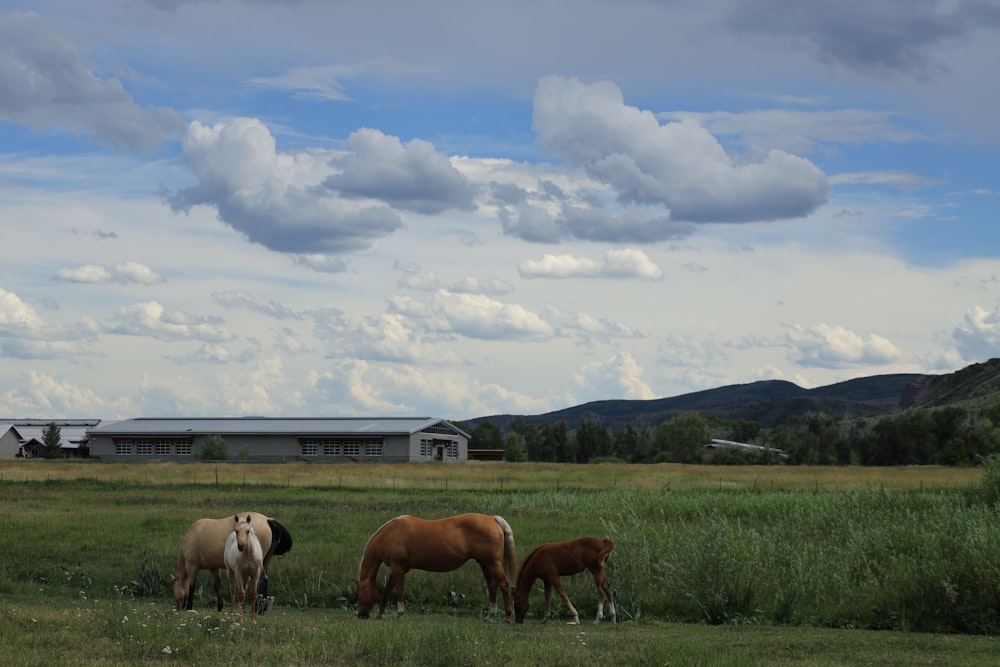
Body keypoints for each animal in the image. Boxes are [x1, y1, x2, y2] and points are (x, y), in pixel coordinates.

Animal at [358, 516, 516, 624]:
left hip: (493, 563)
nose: (361, 615)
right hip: (485, 564)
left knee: (503, 584)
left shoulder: (398, 567)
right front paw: (380, 613)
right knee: (492, 586)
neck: (391, 534)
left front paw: (399, 612)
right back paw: (489, 616)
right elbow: (387, 589)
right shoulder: (400, 568)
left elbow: (399, 590)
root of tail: (492, 518)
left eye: (360, 593)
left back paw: (508, 617)